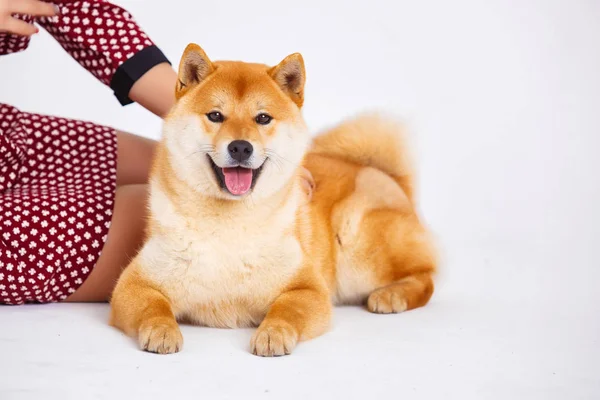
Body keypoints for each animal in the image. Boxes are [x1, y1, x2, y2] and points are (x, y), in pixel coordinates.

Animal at [109, 43, 436, 356]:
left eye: (263, 118)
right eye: (215, 116)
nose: (241, 147)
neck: (228, 225)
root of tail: (387, 175)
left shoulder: (307, 288)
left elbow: (287, 311)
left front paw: (273, 334)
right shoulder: (133, 283)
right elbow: (153, 307)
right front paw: (162, 330)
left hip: (357, 244)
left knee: (425, 275)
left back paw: (391, 295)